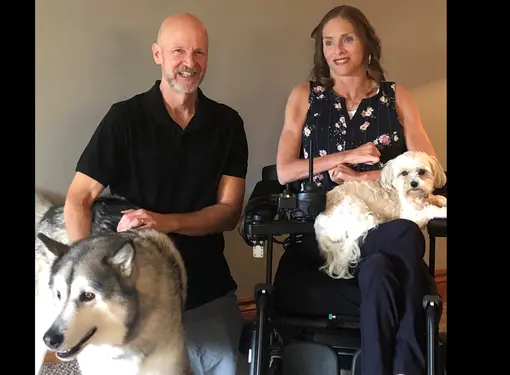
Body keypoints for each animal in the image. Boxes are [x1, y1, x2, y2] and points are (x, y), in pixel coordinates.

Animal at [312, 151, 448, 280]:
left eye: (421, 171)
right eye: (404, 173)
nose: (414, 183)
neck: (416, 197)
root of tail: (319, 228)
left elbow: (435, 198)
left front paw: (442, 200)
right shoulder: (412, 215)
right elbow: (430, 209)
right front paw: (443, 211)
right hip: (356, 208)